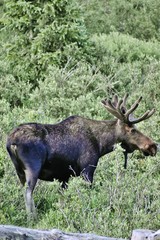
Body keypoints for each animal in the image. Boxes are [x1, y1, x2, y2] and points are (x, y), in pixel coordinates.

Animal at [6, 94, 158, 218]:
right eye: (132, 130)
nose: (153, 146)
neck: (101, 144)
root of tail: (11, 142)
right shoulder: (87, 169)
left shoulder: (64, 177)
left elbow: (62, 200)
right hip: (33, 167)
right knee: (28, 192)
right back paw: (32, 218)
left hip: (19, 171)